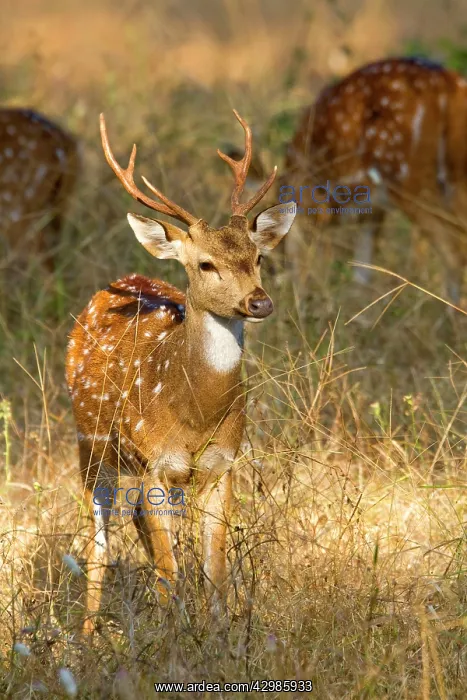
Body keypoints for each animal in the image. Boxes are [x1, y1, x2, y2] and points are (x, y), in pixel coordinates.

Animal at [66, 110, 296, 634]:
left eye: (258, 257)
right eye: (206, 263)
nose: (260, 302)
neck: (193, 411)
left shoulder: (222, 464)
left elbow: (215, 570)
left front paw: (217, 636)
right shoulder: (153, 461)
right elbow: (169, 573)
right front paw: (169, 637)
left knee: (134, 523)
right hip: (91, 445)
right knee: (98, 544)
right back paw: (85, 636)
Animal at [230, 58, 467, 303]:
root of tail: (448, 88)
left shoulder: (312, 203)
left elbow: (305, 264)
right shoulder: (372, 212)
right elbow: (362, 274)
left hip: (407, 175)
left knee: (454, 252)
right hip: (455, 177)